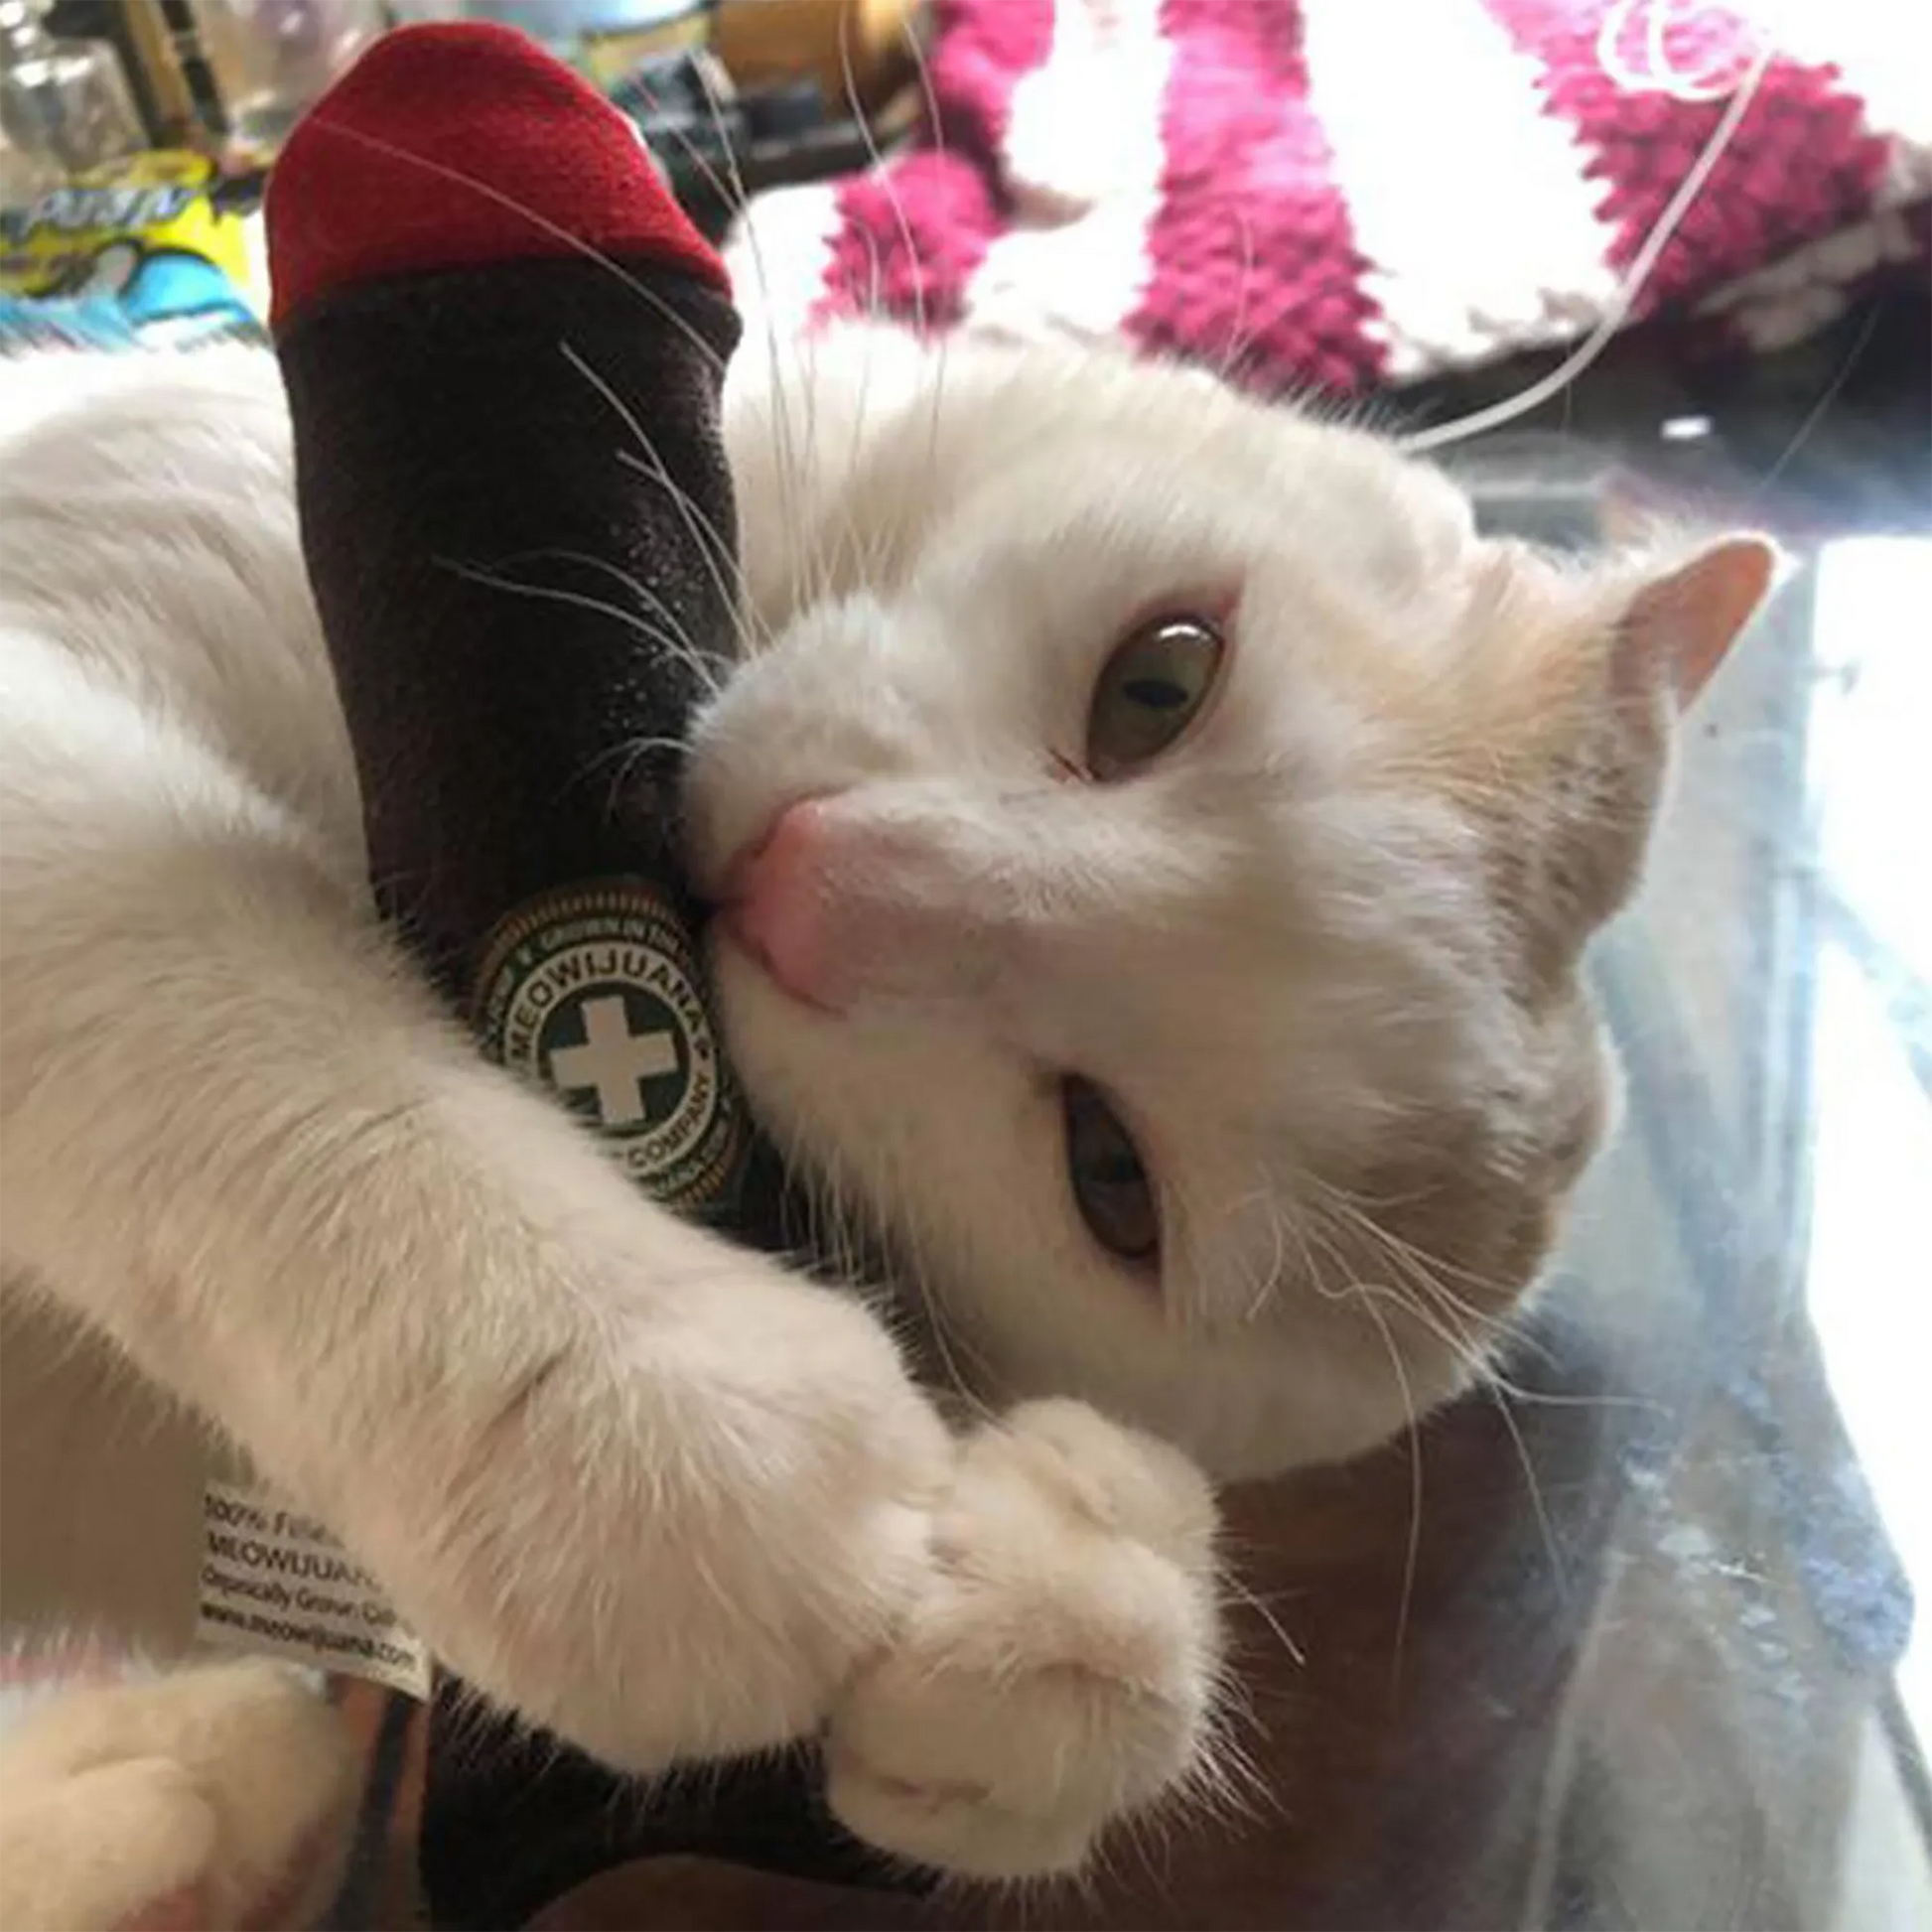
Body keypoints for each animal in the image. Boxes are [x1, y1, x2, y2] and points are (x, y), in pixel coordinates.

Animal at [0, 324, 1769, 1924]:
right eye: (1160, 677)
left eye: (1110, 1177)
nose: (817, 884)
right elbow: (201, 972)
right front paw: (622, 1412)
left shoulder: (120, 1466)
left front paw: (1032, 1611)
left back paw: (187, 1785)